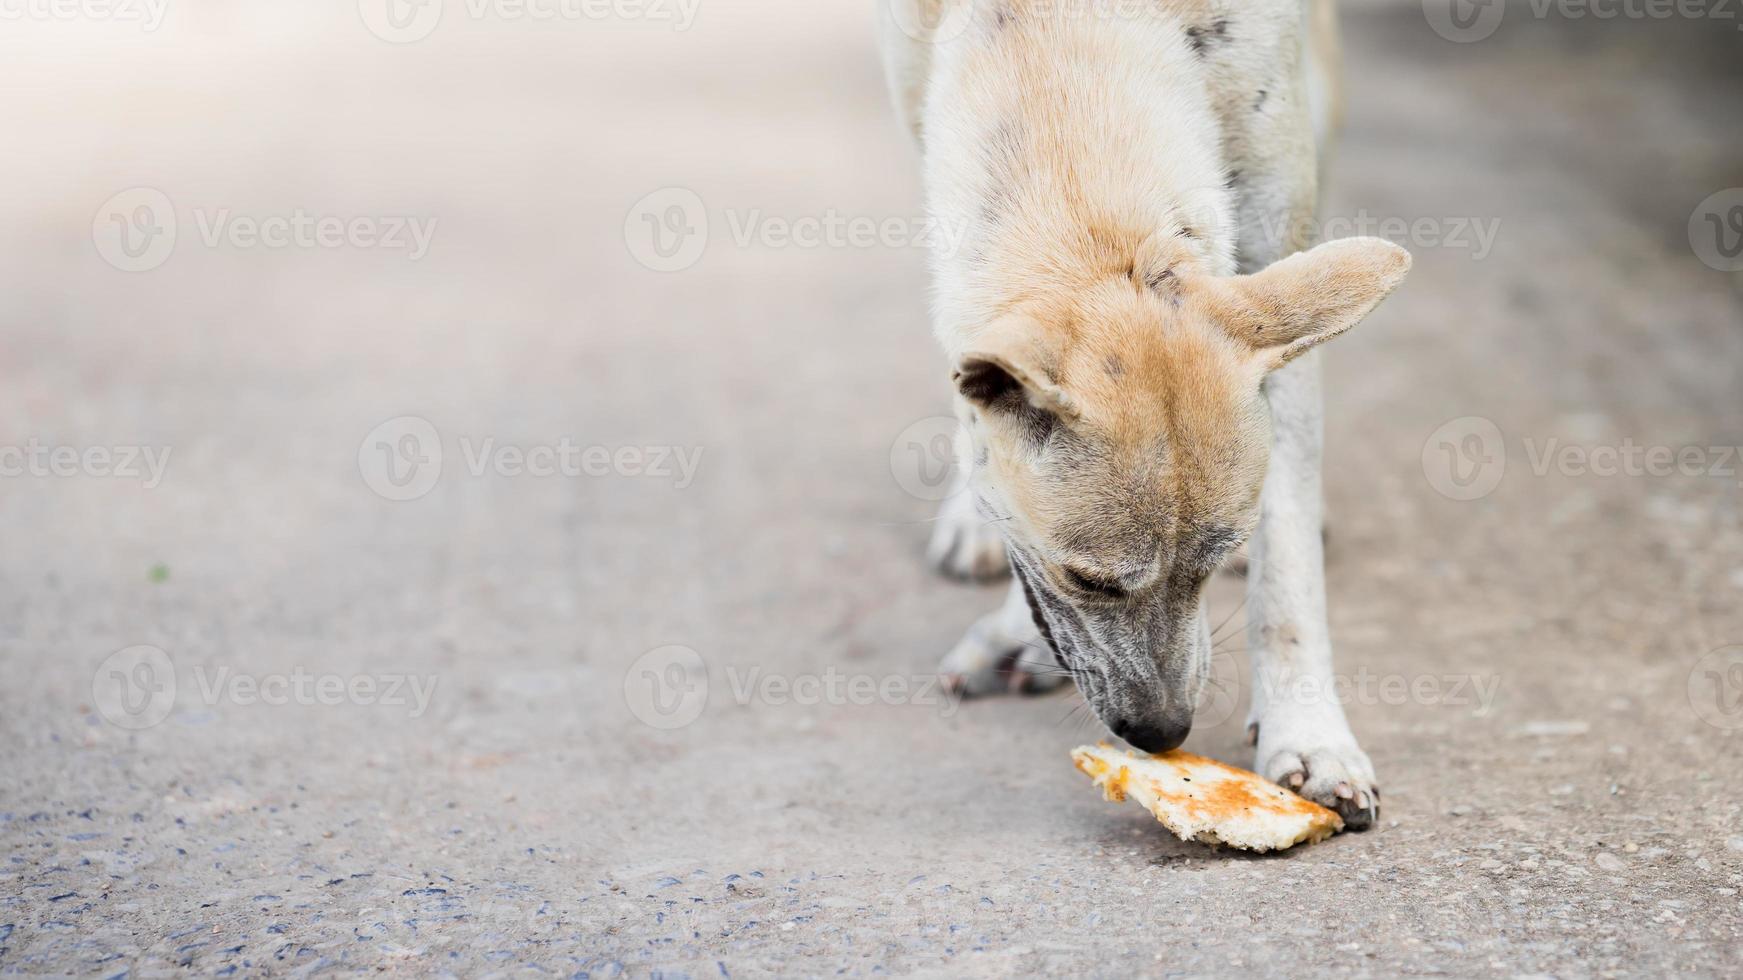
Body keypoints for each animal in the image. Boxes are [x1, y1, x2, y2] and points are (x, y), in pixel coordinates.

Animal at [878, 0, 1408, 823]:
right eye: (1090, 581)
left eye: (1213, 561)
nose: (1164, 736)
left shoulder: (1270, 228)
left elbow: (1288, 559)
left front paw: (1311, 737)